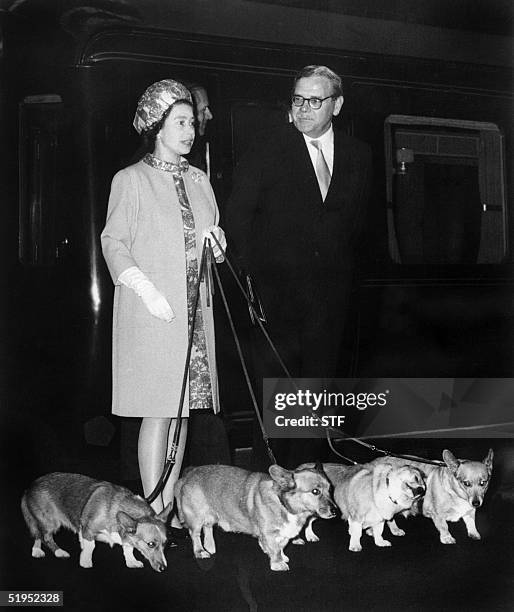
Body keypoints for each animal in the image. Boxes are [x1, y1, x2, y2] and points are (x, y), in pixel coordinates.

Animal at [21, 474, 170, 568]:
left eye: (166, 544)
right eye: (151, 544)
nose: (163, 568)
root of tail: (29, 488)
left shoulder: (127, 536)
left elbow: (129, 548)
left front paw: (131, 561)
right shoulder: (88, 529)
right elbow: (90, 546)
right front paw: (85, 561)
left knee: (38, 534)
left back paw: (37, 550)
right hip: (50, 522)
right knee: (44, 536)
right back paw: (57, 552)